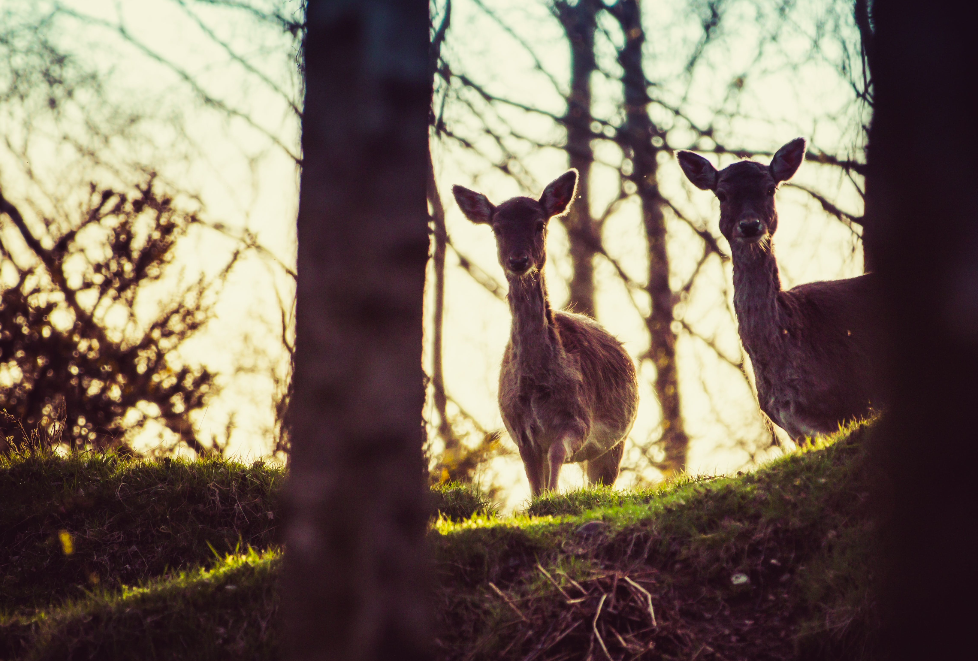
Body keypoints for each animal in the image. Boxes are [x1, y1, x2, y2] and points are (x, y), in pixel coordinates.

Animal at [452, 170, 636, 496]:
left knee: (602, 481)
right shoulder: (517, 428)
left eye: (539, 224)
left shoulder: (579, 419)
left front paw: (554, 494)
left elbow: (557, 452)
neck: (537, 384)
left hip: (617, 442)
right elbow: (532, 480)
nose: (518, 260)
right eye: (497, 228)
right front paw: (542, 497)